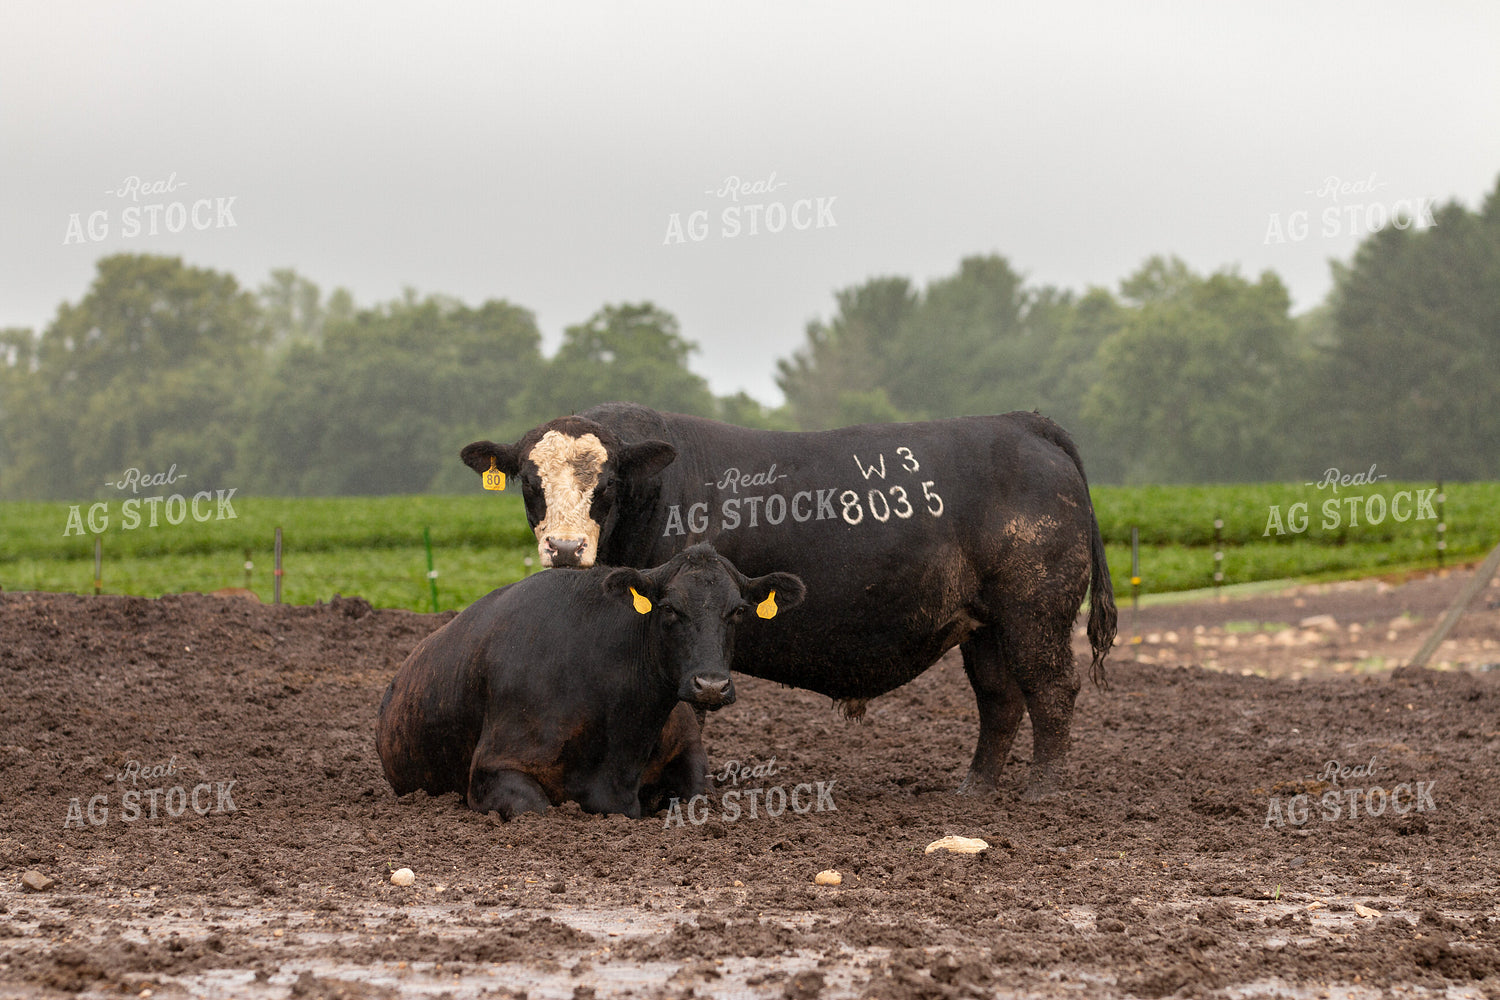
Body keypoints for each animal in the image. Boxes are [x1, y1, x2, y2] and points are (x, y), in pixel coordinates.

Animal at [375, 543, 805, 819]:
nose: (711, 685)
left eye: (737, 611)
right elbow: (537, 810)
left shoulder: (688, 750)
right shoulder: (492, 768)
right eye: (669, 608)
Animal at [461, 402, 1116, 800]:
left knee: (1051, 689)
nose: (566, 548)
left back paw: (1043, 791)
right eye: (530, 482)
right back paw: (974, 790)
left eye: (608, 483)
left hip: (1036, 610)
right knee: (1000, 698)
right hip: (985, 624)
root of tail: (1023, 423)